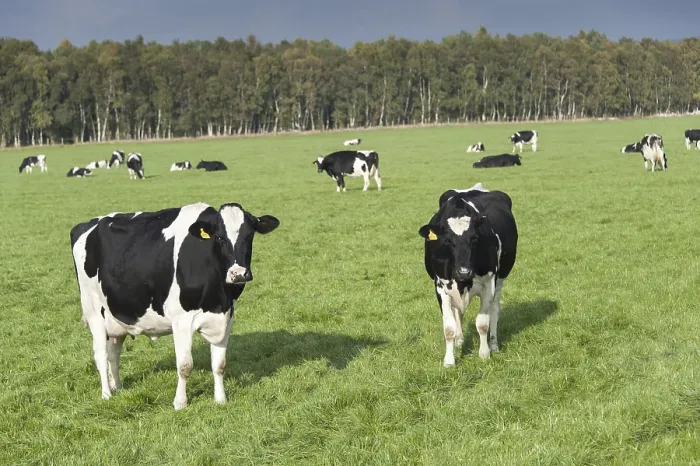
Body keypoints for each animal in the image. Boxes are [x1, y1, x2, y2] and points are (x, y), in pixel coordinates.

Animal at [70, 202, 280, 409]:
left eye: (249, 235)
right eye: (220, 237)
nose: (238, 274)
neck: (218, 297)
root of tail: (87, 223)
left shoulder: (226, 317)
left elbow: (219, 365)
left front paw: (220, 399)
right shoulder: (182, 321)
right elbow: (185, 366)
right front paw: (180, 403)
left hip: (116, 316)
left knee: (113, 354)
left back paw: (118, 387)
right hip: (94, 310)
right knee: (100, 355)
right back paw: (106, 394)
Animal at [418, 182, 518, 368]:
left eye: (474, 239)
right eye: (447, 241)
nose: (464, 271)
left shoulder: (489, 283)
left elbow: (483, 323)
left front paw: (484, 353)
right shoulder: (440, 286)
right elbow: (448, 327)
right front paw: (449, 360)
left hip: (501, 278)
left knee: (495, 309)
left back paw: (494, 343)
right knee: (458, 312)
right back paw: (459, 340)